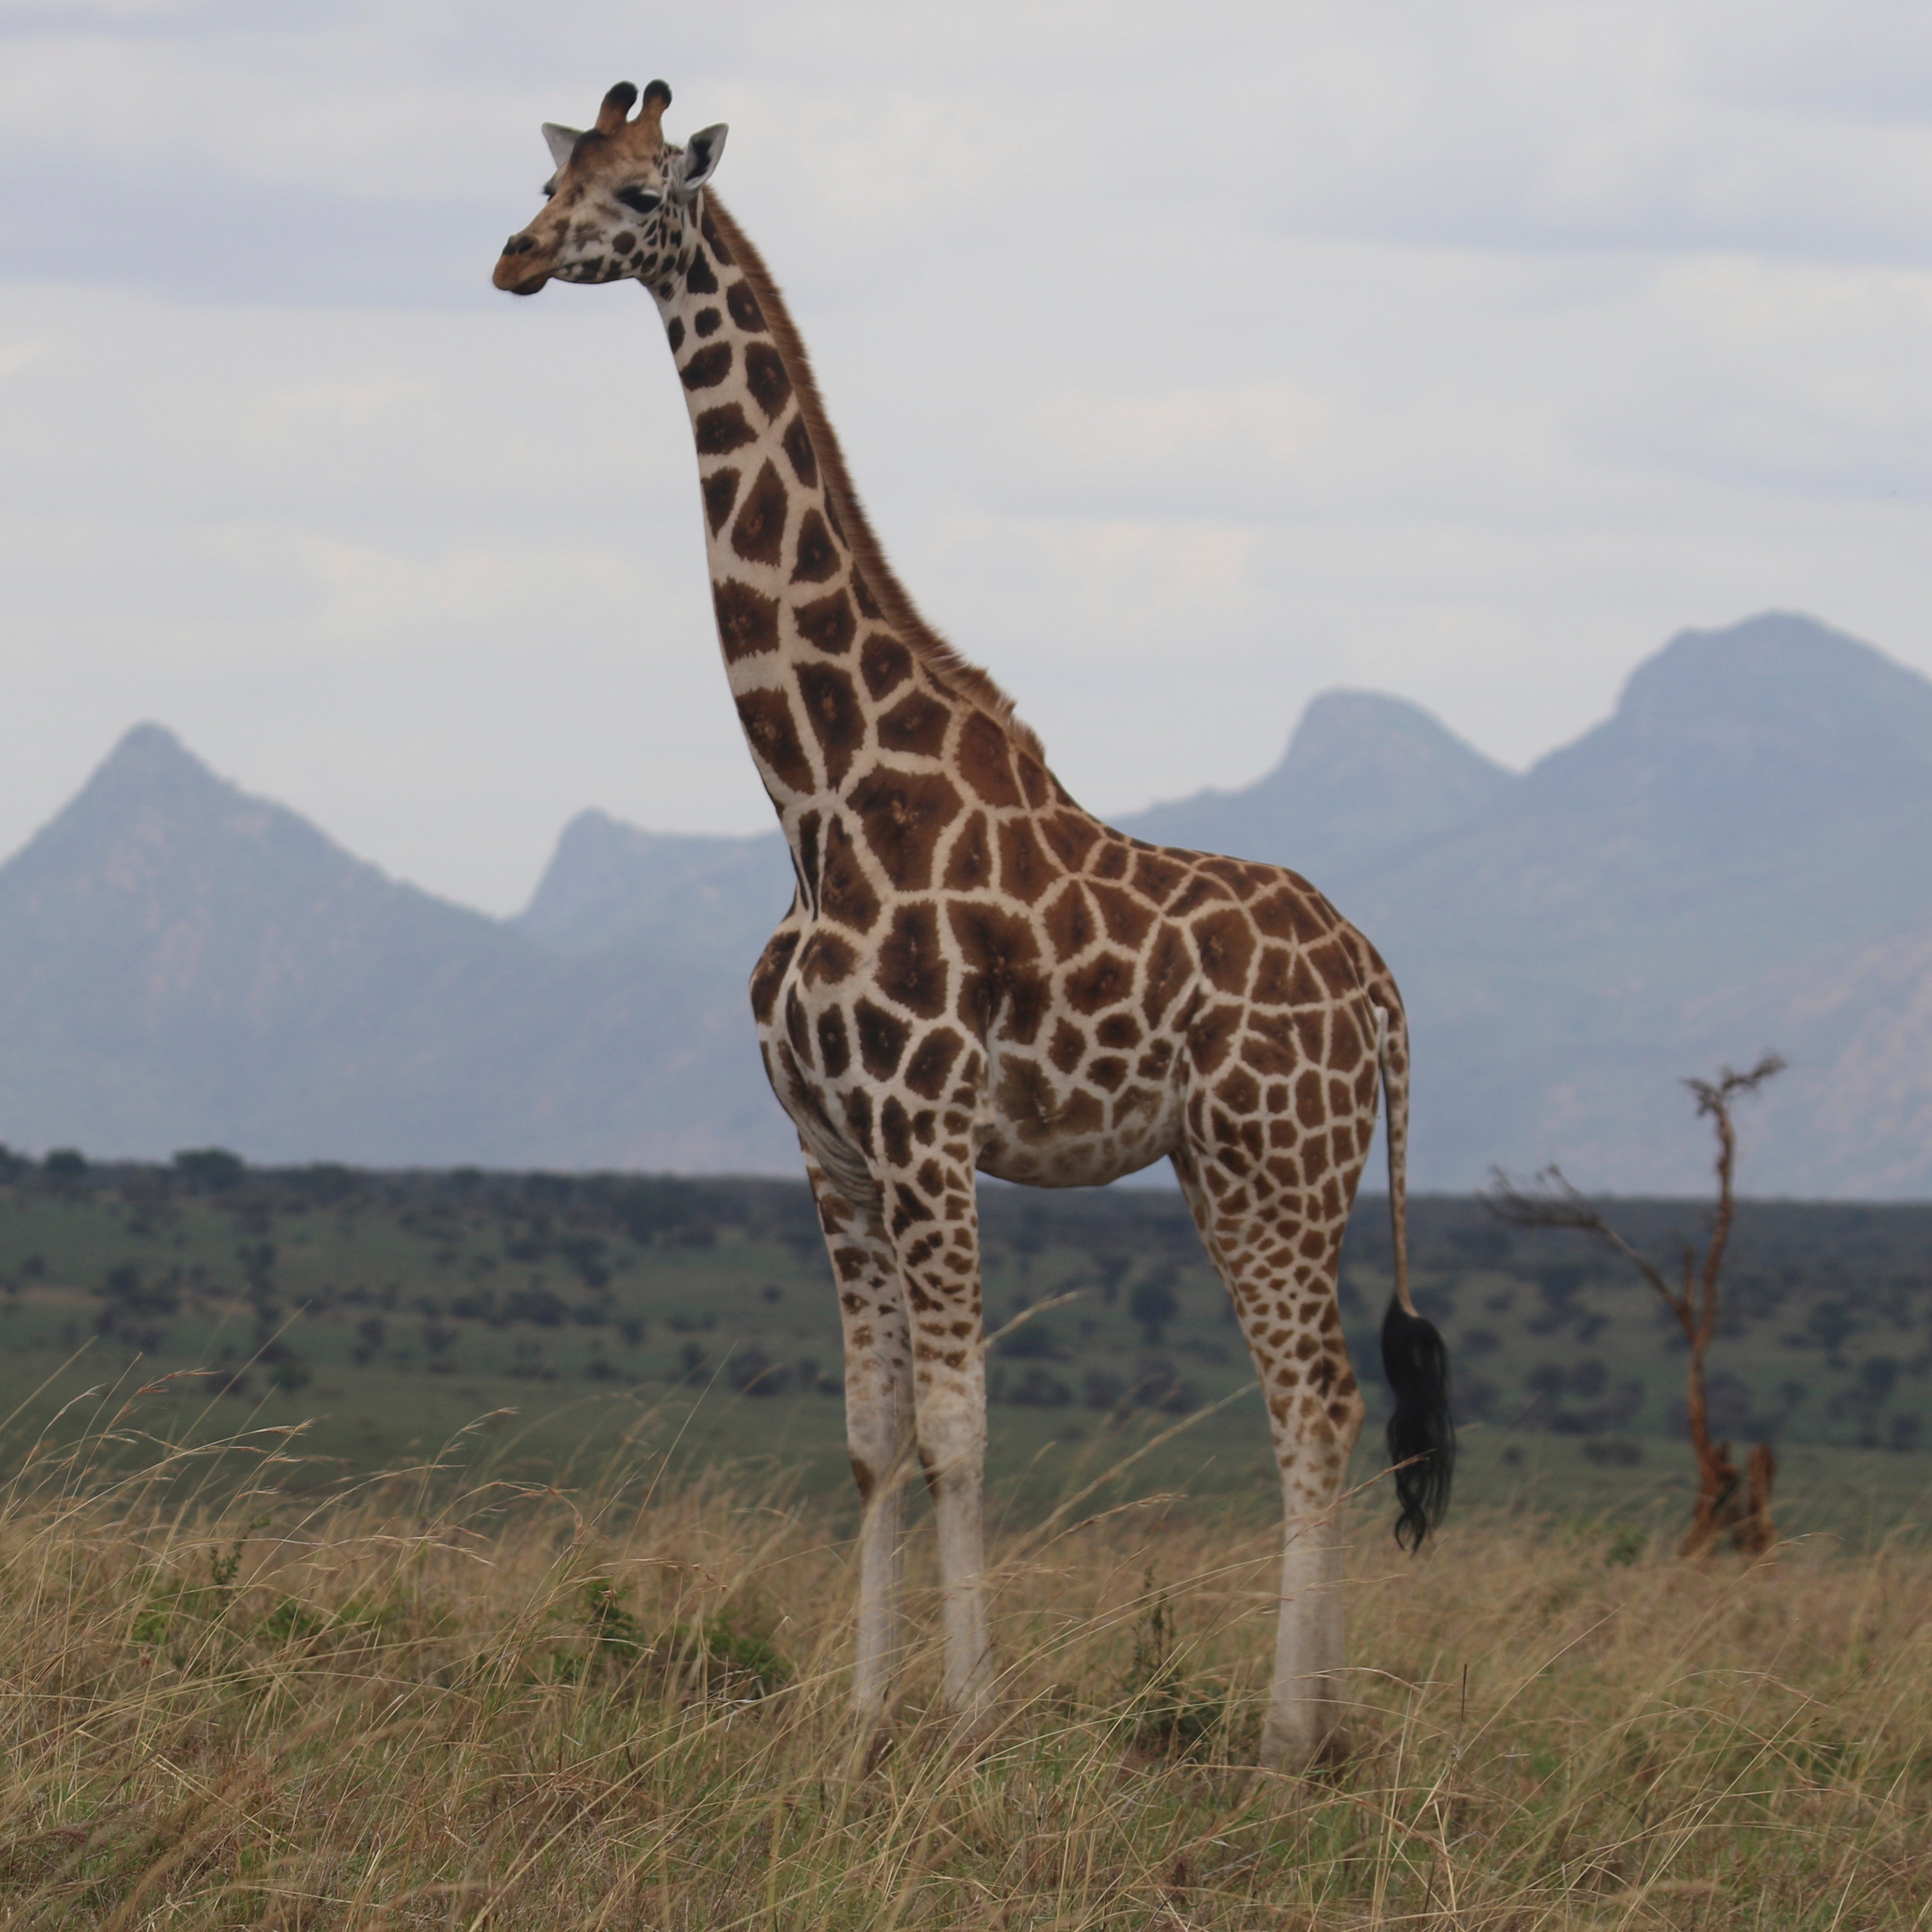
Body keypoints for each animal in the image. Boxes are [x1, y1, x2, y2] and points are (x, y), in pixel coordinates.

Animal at [493, 79, 1453, 1771]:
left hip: (1278, 1162)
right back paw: (1323, 1723)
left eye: (644, 192)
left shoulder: (928, 1125)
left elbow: (957, 1430)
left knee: (1319, 1401)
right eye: (556, 174)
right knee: (1320, 1398)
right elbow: (874, 1440)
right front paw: (864, 1719)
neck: (817, 800)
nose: (518, 256)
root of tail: (1380, 985)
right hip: (1248, 1167)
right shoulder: (830, 1143)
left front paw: (972, 1722)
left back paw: (1284, 1736)